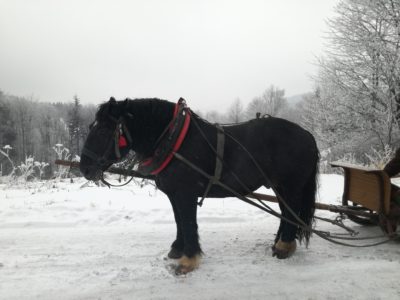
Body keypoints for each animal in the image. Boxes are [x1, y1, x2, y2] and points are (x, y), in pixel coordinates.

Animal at [80, 98, 318, 274]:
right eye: (91, 127)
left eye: (103, 131)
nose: (84, 168)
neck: (173, 140)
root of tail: (308, 134)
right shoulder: (173, 194)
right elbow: (179, 220)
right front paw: (177, 249)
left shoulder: (186, 193)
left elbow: (188, 222)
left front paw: (188, 260)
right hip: (280, 187)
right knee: (286, 213)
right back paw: (280, 243)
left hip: (290, 186)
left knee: (290, 211)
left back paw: (283, 247)